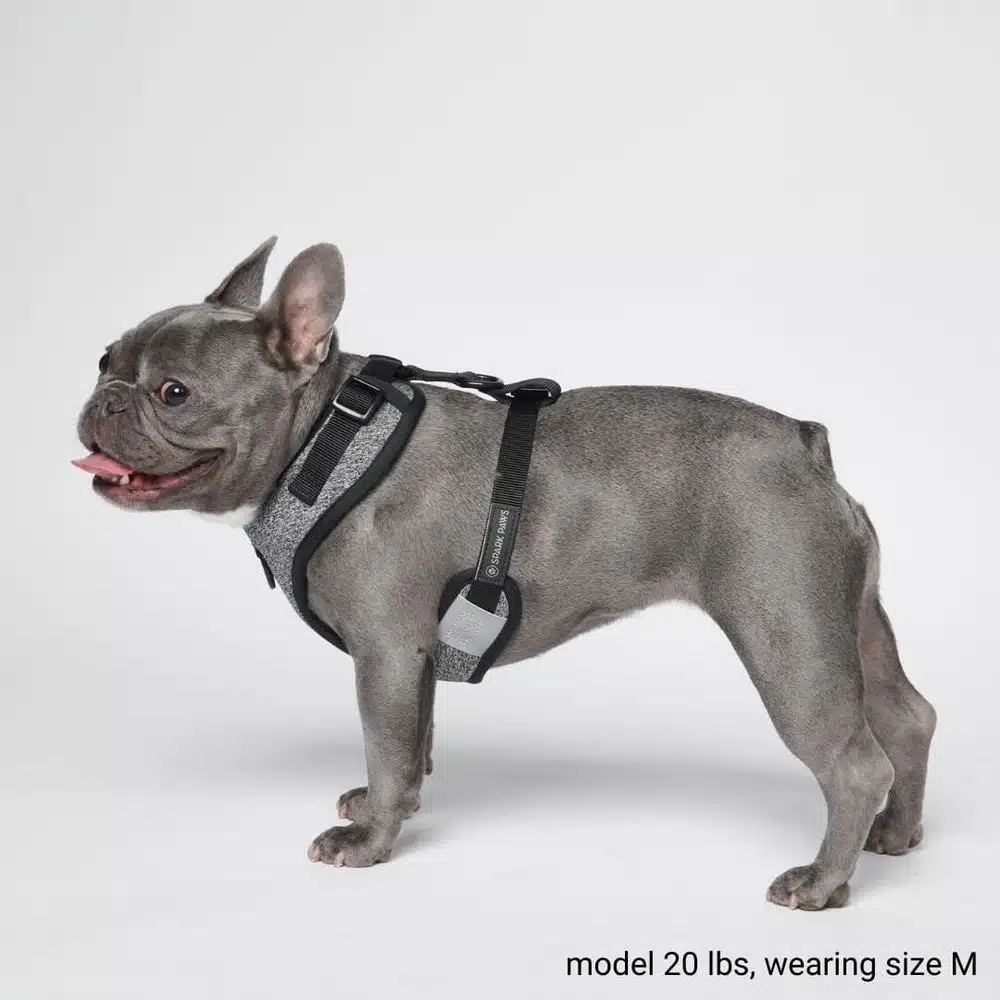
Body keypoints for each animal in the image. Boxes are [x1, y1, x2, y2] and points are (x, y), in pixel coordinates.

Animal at [74, 238, 936, 909]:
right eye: (104, 360)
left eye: (173, 393)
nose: (103, 401)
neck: (323, 439)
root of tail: (804, 444)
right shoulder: (414, 654)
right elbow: (411, 738)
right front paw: (391, 804)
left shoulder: (385, 649)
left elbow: (384, 740)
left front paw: (368, 839)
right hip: (847, 622)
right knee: (907, 717)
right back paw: (896, 834)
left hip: (787, 638)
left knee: (855, 763)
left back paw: (823, 882)